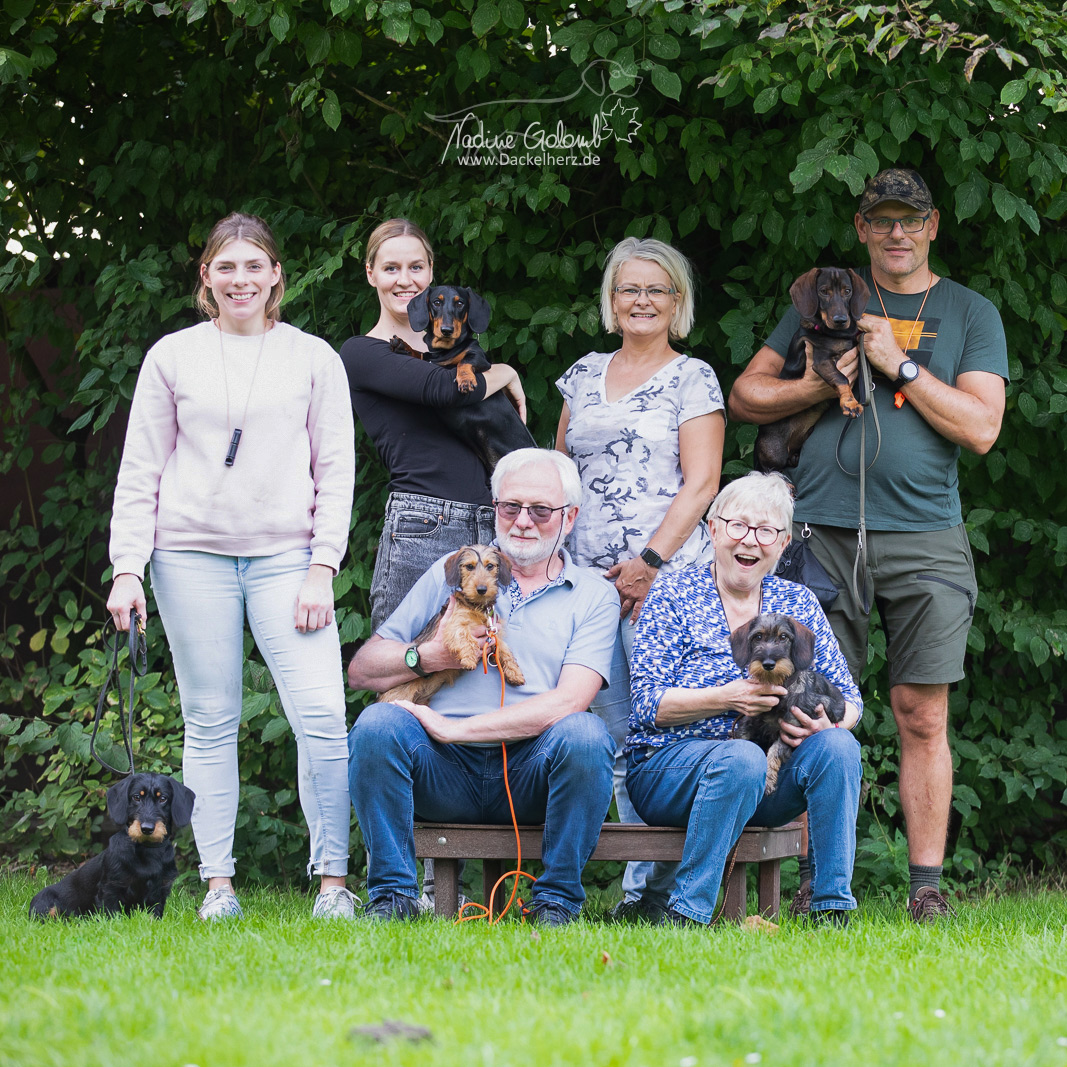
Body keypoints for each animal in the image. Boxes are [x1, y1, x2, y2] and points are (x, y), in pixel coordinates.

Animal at [28, 776, 196, 917]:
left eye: (163, 798)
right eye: (136, 797)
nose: (147, 828)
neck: (146, 849)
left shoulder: (160, 891)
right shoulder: (111, 888)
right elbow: (112, 915)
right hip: (45, 901)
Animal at [381, 542, 527, 708]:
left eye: (490, 566)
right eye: (469, 566)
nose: (482, 589)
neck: (477, 606)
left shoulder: (494, 633)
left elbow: (505, 650)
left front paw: (514, 672)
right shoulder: (454, 625)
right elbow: (466, 637)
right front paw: (469, 658)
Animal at [388, 283, 533, 471]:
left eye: (460, 303)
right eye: (436, 302)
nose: (447, 331)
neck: (444, 351)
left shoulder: (479, 357)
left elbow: (464, 361)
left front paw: (466, 380)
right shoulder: (430, 360)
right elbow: (421, 354)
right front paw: (403, 346)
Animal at [729, 618, 845, 793]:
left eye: (783, 637)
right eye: (757, 637)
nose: (768, 664)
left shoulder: (790, 730)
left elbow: (774, 751)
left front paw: (768, 779)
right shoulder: (748, 723)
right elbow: (743, 739)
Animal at [755, 265, 870, 471]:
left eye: (847, 291)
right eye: (823, 291)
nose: (841, 320)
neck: (836, 334)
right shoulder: (821, 360)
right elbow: (841, 378)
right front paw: (850, 403)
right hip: (773, 453)